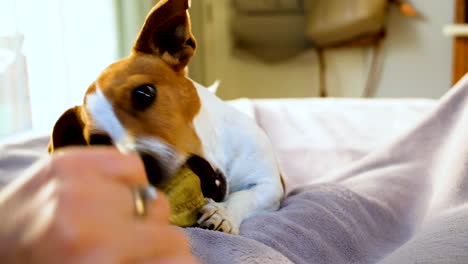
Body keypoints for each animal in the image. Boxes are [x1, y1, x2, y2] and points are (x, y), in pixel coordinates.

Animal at [48, 0, 282, 235]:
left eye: (143, 93)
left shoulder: (271, 185)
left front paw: (223, 214)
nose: (141, 168)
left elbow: (244, 196)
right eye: (99, 142)